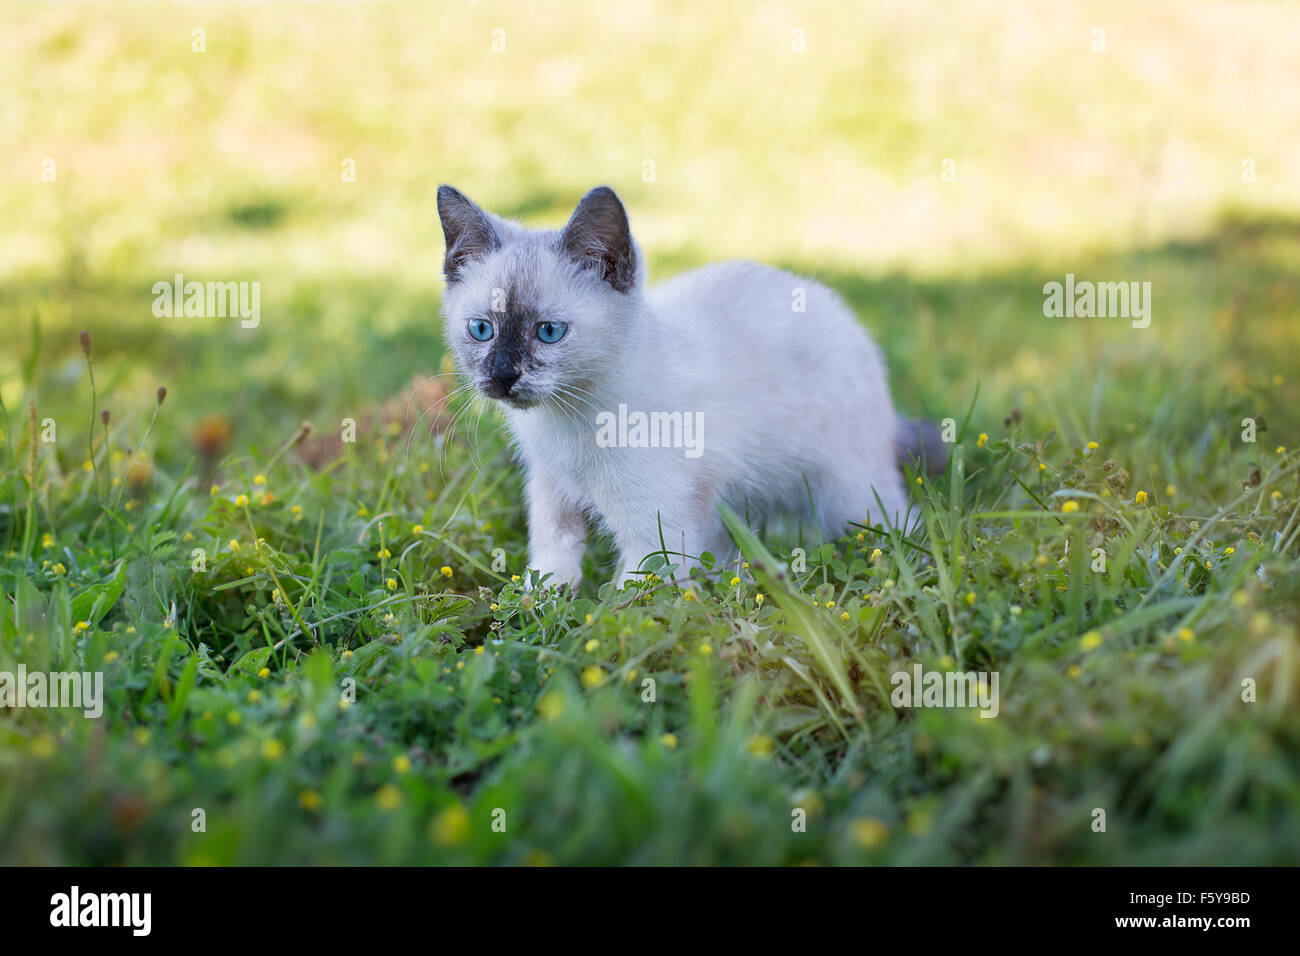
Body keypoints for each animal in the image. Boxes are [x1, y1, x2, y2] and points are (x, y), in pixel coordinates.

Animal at [441, 184, 941, 590]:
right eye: (481, 329)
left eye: (548, 332)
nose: (502, 375)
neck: (567, 420)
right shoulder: (551, 490)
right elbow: (549, 567)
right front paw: (537, 617)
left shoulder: (653, 528)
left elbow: (630, 608)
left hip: (848, 494)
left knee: (904, 526)